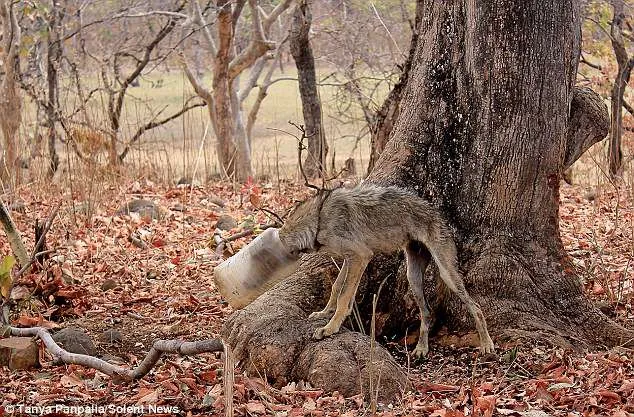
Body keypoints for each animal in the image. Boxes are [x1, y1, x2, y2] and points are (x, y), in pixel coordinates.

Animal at [276, 184, 494, 356]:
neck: (319, 217)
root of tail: (438, 215)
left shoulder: (360, 255)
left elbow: (344, 296)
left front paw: (330, 328)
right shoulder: (350, 258)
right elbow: (337, 286)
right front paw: (324, 312)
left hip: (447, 275)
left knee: (476, 307)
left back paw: (487, 344)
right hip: (413, 278)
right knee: (427, 313)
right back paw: (421, 349)